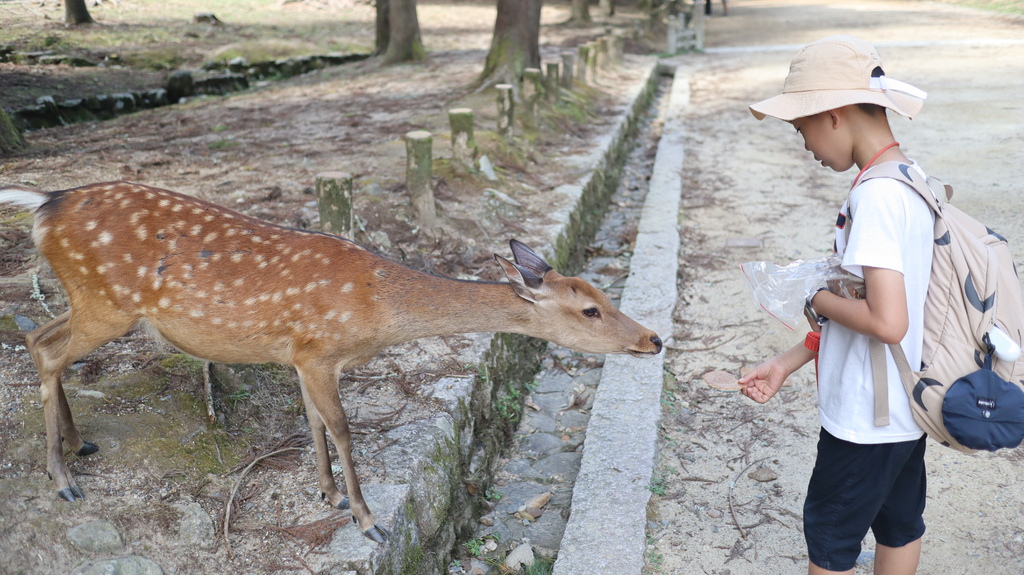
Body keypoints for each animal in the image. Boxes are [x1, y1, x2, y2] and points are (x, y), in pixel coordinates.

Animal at [0, 180, 663, 540]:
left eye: (605, 297)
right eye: (591, 309)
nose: (654, 340)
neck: (376, 312)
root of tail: (45, 202)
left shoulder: (301, 353)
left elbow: (313, 420)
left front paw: (328, 494)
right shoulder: (319, 351)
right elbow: (342, 427)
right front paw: (368, 520)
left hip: (90, 301)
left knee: (41, 340)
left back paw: (79, 444)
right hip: (107, 303)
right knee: (46, 349)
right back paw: (62, 480)